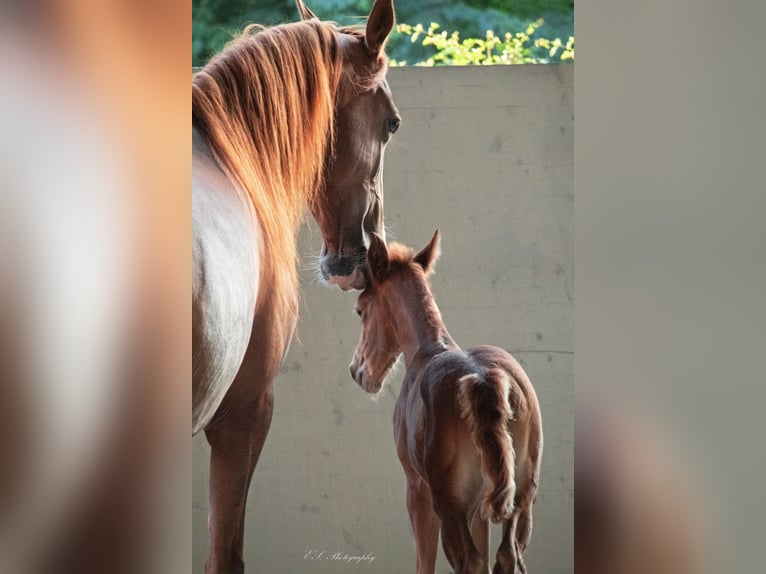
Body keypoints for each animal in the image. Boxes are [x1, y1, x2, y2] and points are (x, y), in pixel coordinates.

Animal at [352, 233, 544, 574]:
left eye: (360, 310)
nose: (357, 371)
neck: (429, 349)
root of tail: (482, 379)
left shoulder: (418, 491)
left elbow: (424, 562)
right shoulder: (481, 509)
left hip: (449, 506)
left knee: (472, 562)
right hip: (521, 502)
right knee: (508, 557)